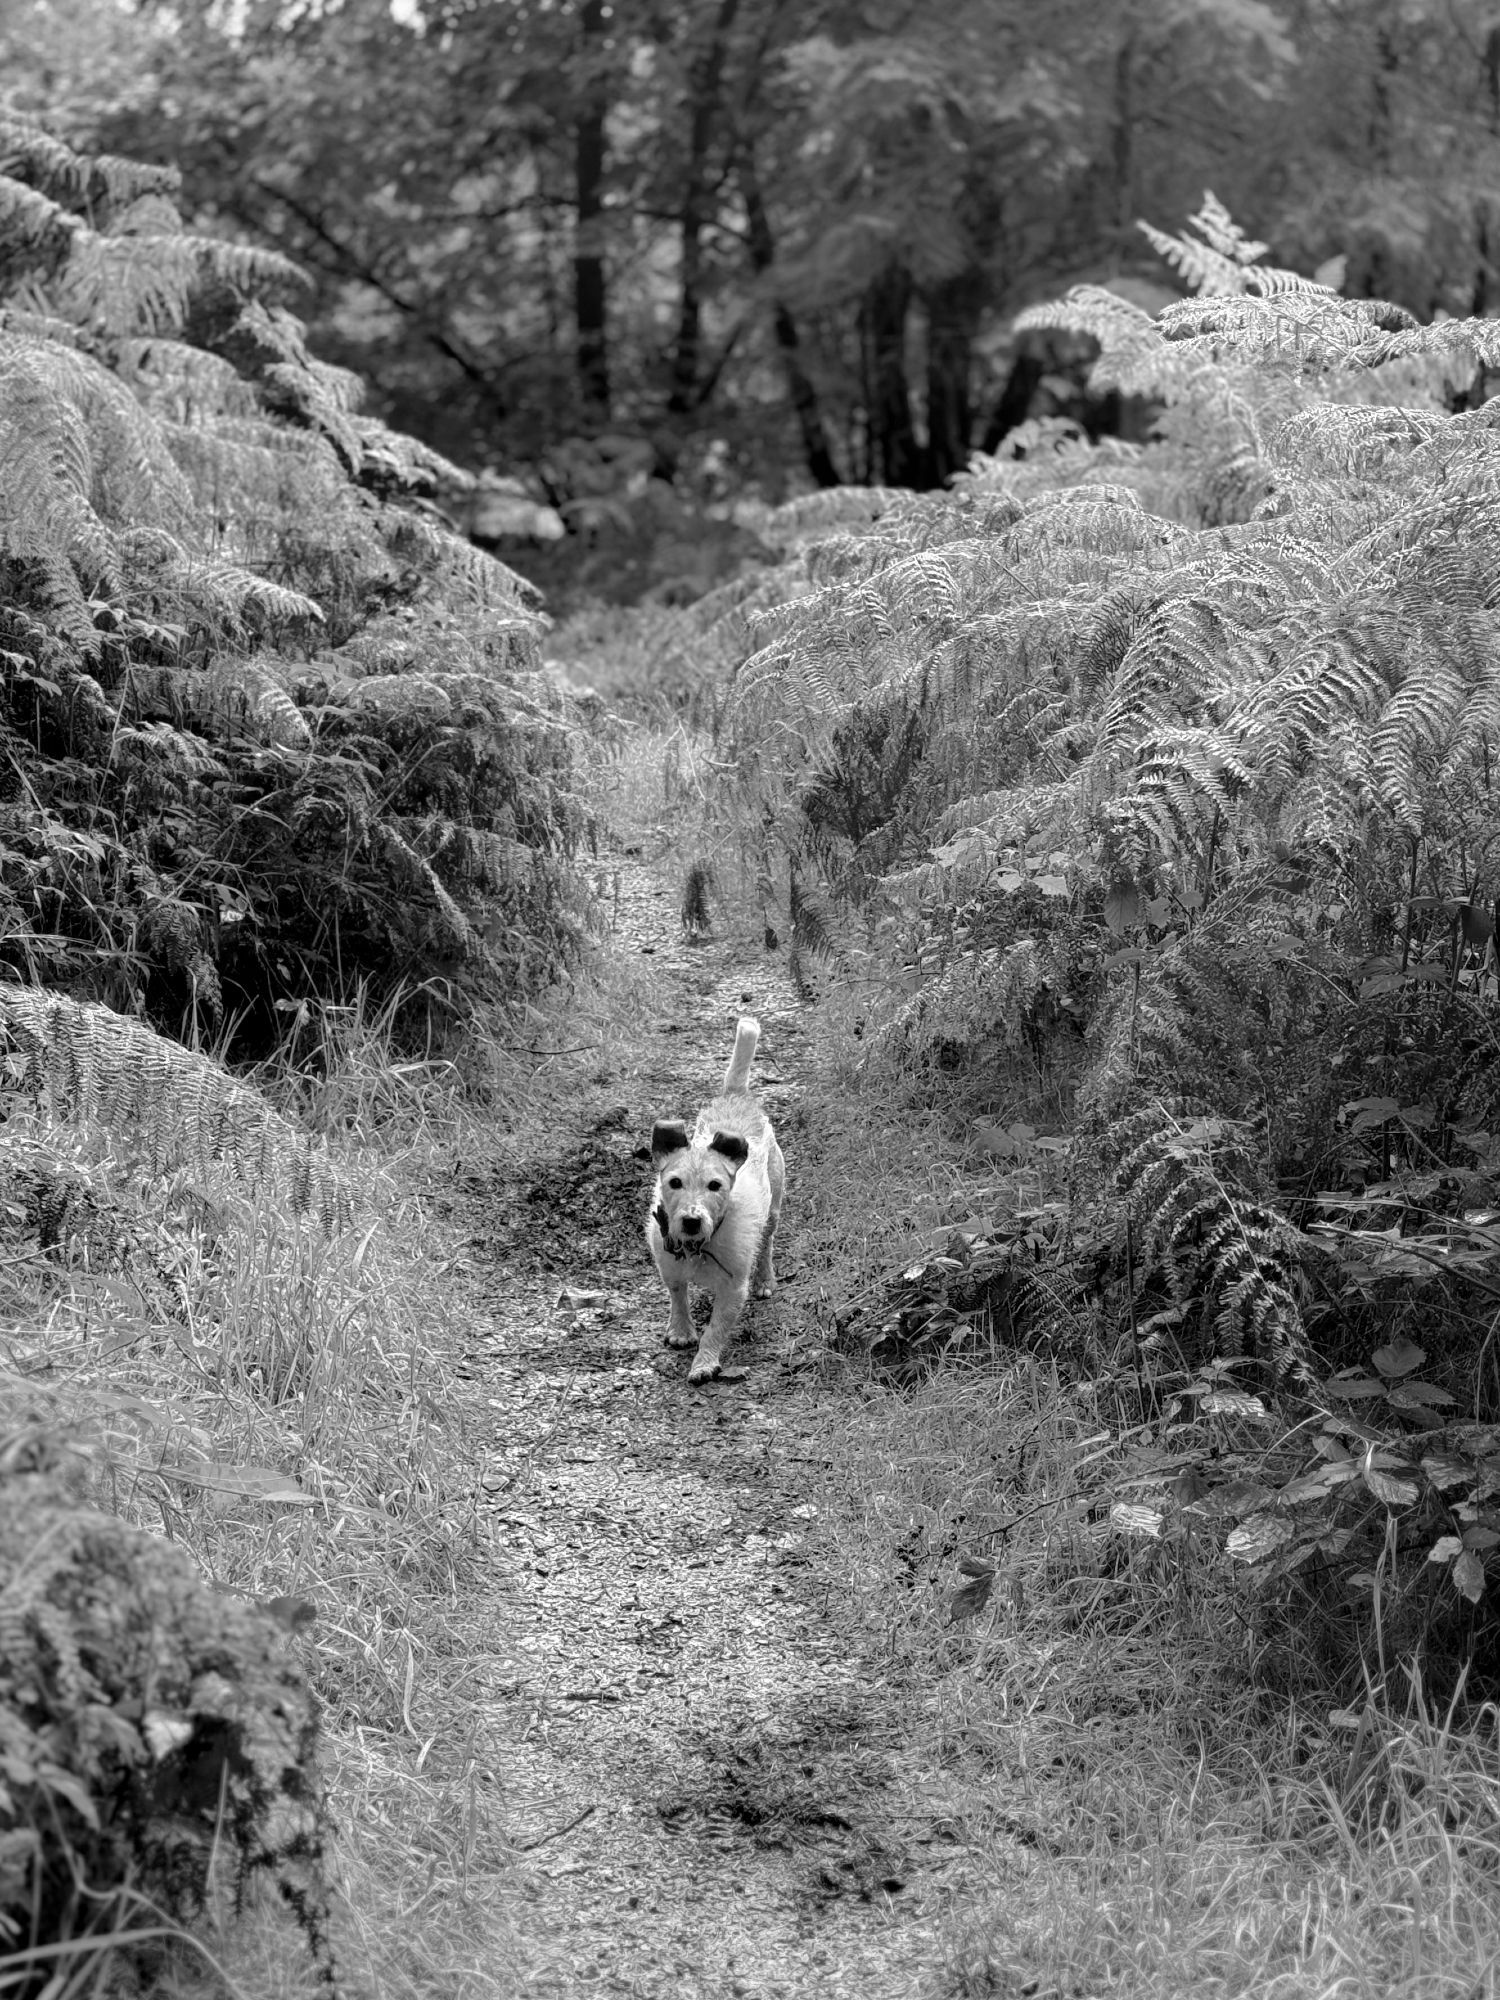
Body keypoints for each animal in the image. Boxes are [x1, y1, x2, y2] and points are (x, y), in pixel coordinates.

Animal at [648, 1016, 788, 1376]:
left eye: (715, 1185)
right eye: (675, 1182)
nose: (691, 1221)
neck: (699, 1247)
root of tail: (735, 1095)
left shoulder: (733, 1286)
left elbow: (717, 1327)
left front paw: (704, 1363)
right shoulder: (669, 1266)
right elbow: (677, 1295)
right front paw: (681, 1331)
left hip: (774, 1206)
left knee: (767, 1242)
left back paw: (765, 1280)